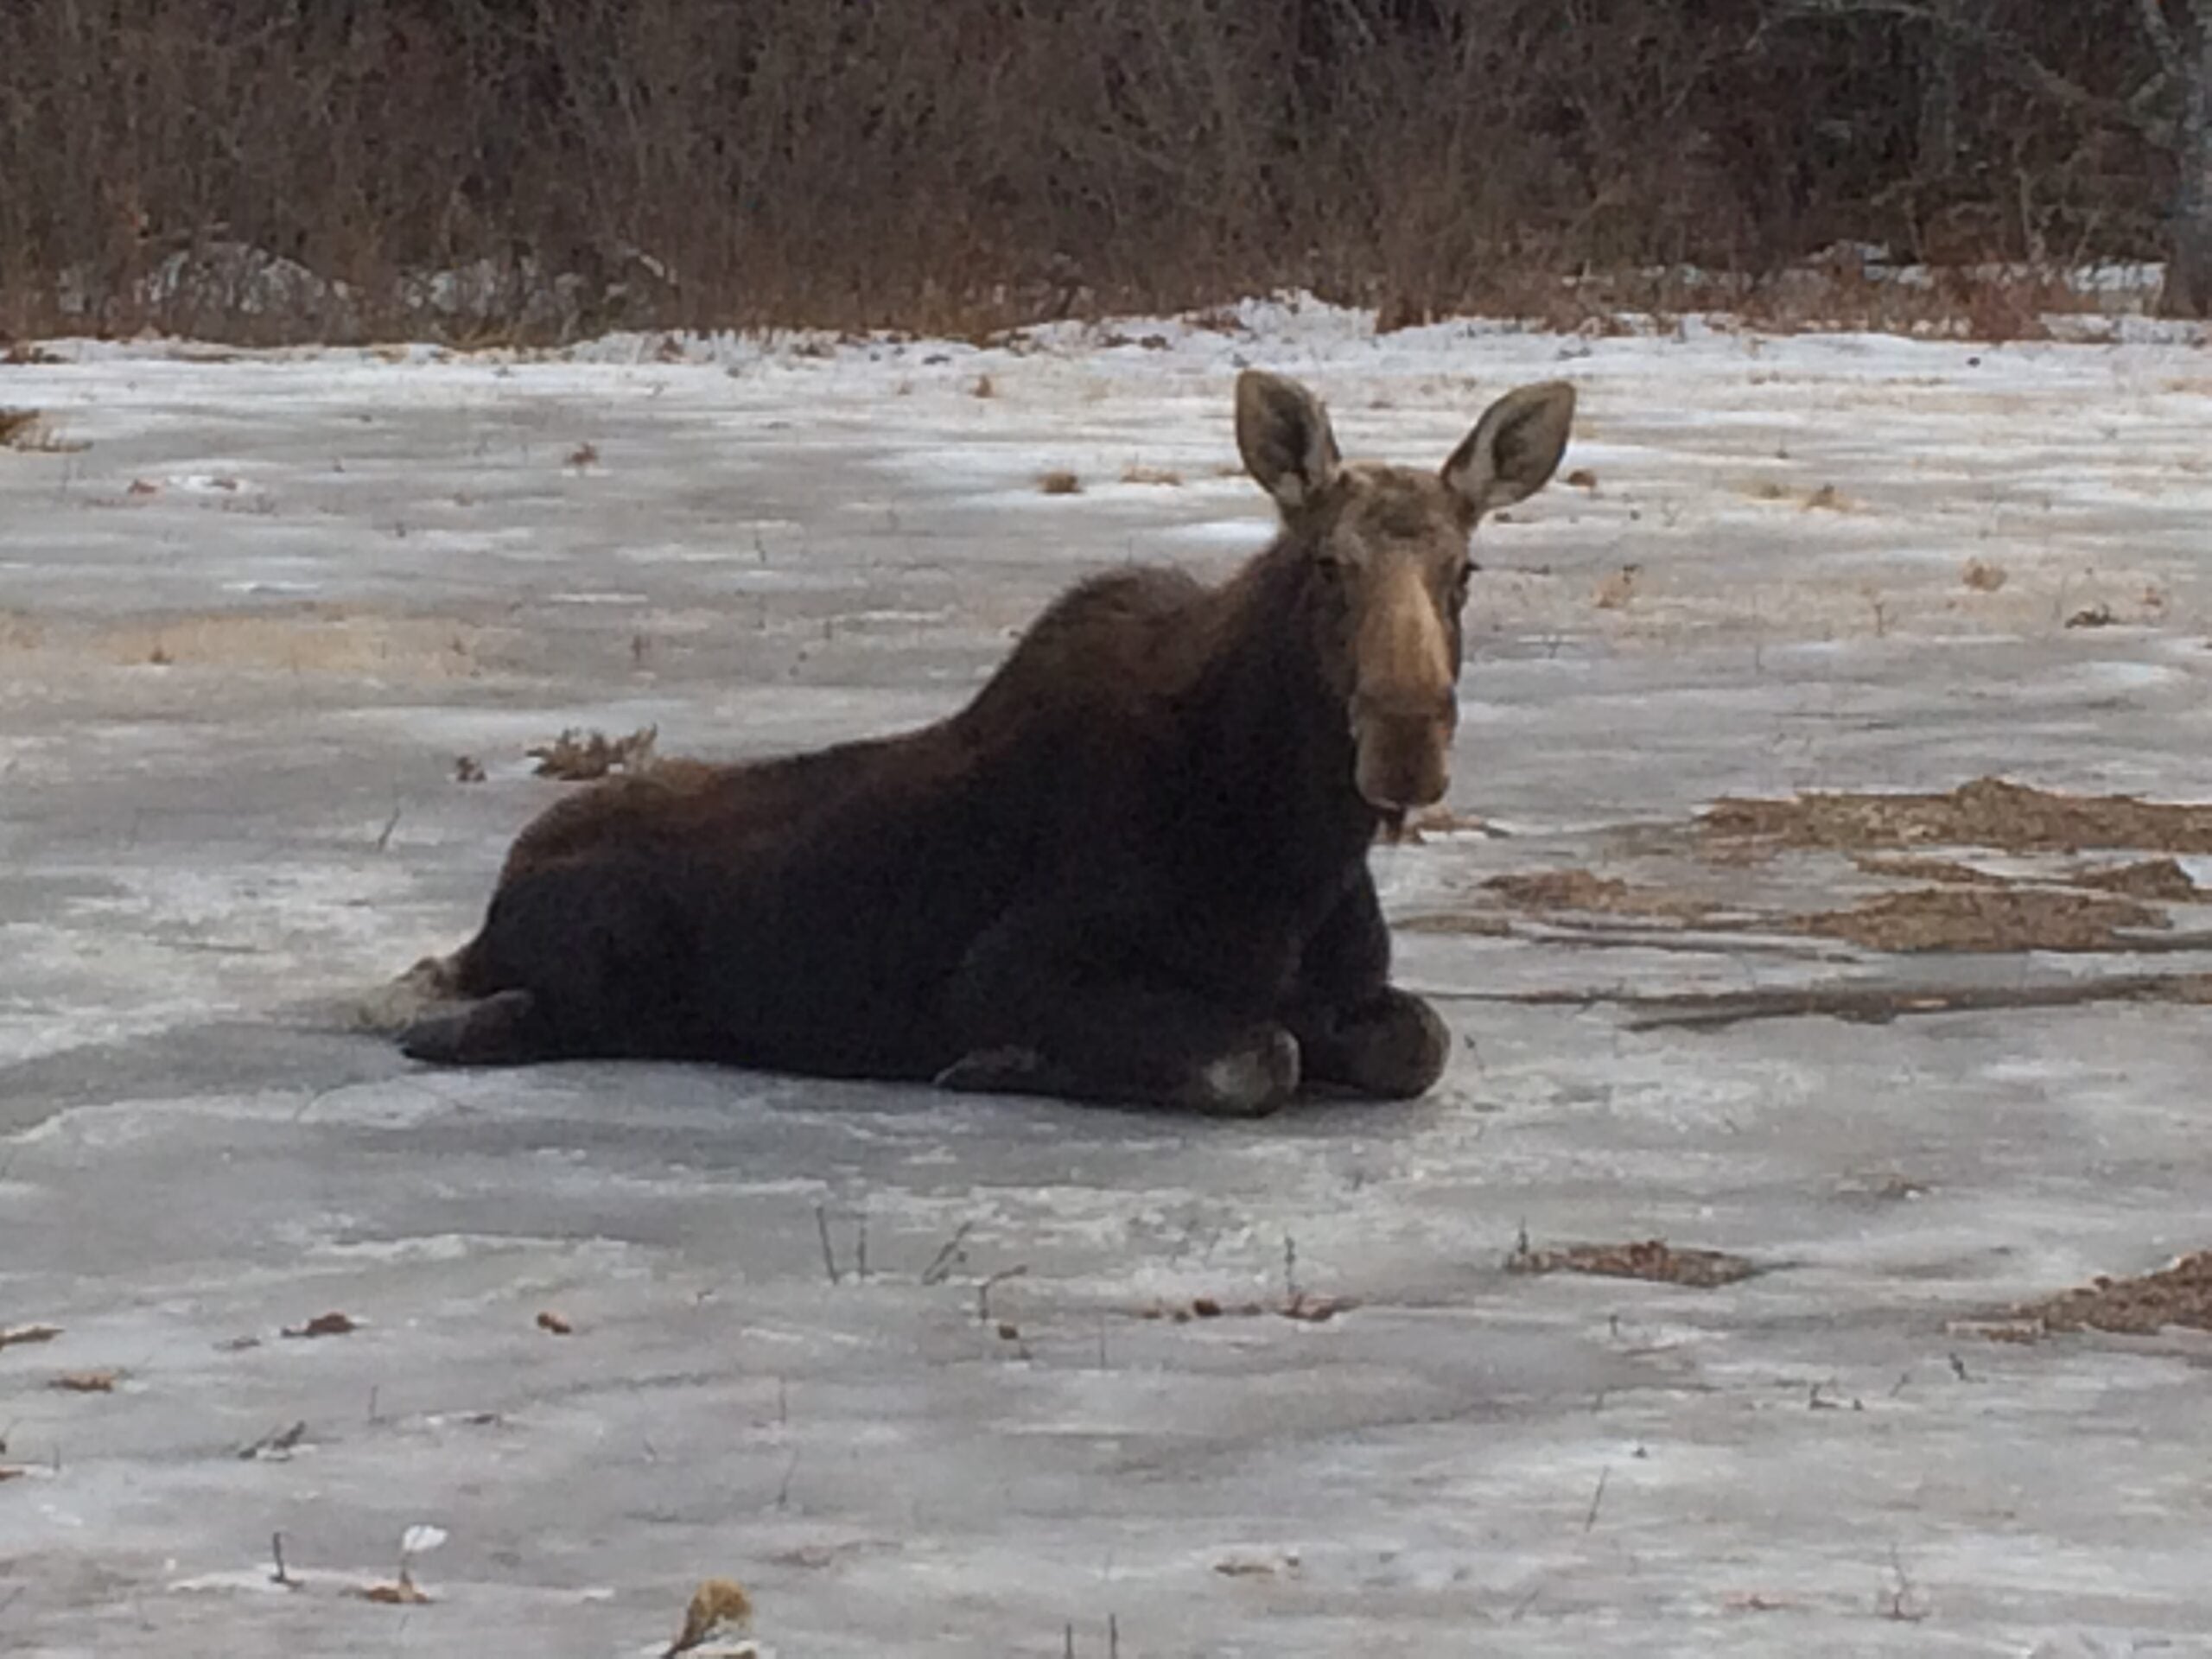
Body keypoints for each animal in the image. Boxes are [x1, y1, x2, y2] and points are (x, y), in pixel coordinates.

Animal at [384, 370, 1575, 1116]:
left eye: (1464, 571)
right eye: (1329, 566)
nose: (1406, 748)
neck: (1289, 849)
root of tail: (500, 895)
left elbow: (1417, 1041)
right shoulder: (1005, 972)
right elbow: (1258, 1056)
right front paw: (996, 1065)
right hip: (595, 973)